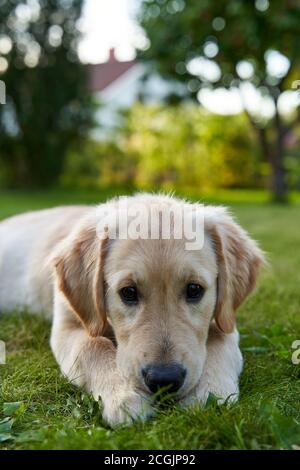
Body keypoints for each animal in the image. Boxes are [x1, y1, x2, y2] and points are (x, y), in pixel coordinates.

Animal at [0, 195, 264, 426]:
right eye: (128, 292)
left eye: (194, 289)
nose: (164, 380)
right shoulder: (67, 325)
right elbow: (93, 346)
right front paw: (125, 397)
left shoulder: (223, 319)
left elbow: (221, 342)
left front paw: (209, 395)